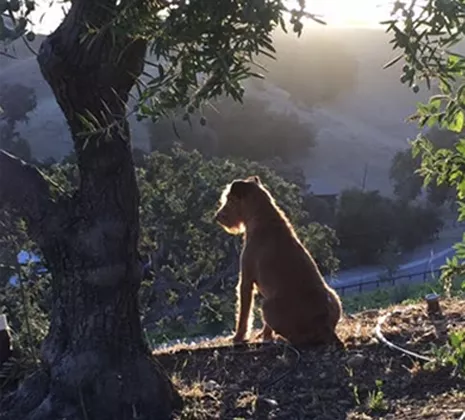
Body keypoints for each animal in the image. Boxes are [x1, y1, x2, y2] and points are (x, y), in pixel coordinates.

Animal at [214, 176, 340, 346]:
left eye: (229, 199)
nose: (217, 217)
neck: (261, 216)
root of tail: (324, 325)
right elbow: (265, 326)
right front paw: (265, 335)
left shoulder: (246, 280)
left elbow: (243, 314)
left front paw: (238, 337)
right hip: (334, 296)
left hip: (267, 306)